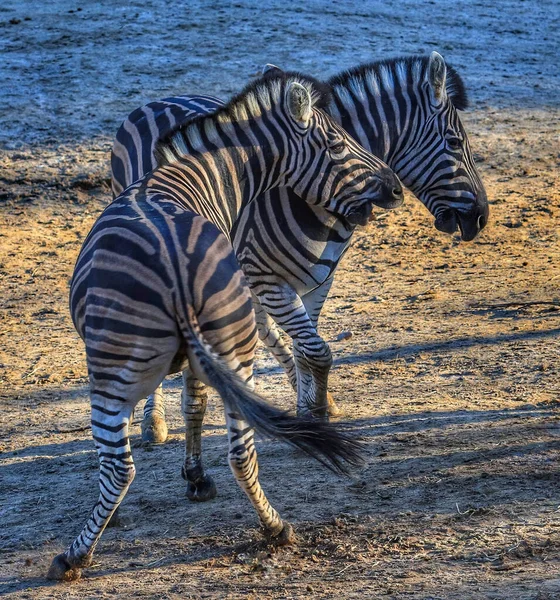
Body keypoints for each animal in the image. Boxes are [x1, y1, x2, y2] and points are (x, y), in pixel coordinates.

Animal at [46, 70, 400, 580]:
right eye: (336, 143)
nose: (395, 187)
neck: (190, 178)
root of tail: (175, 269)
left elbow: (188, 407)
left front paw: (191, 478)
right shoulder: (204, 353)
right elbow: (196, 405)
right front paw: (196, 477)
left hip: (110, 367)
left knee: (118, 466)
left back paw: (74, 556)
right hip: (234, 348)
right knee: (241, 450)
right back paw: (276, 528)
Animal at [111, 52, 488, 460]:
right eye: (455, 142)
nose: (481, 217)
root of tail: (156, 101)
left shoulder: (318, 280)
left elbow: (307, 348)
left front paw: (310, 408)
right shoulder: (267, 278)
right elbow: (316, 350)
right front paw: (314, 415)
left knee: (261, 327)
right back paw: (154, 421)